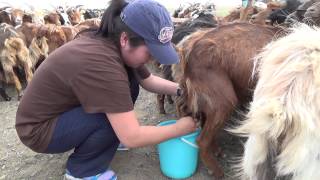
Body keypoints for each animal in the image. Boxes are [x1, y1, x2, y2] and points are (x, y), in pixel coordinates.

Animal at [174, 22, 282, 177]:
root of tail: (188, 53)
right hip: (224, 102)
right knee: (202, 140)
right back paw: (217, 171)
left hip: (197, 96)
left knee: (184, 109)